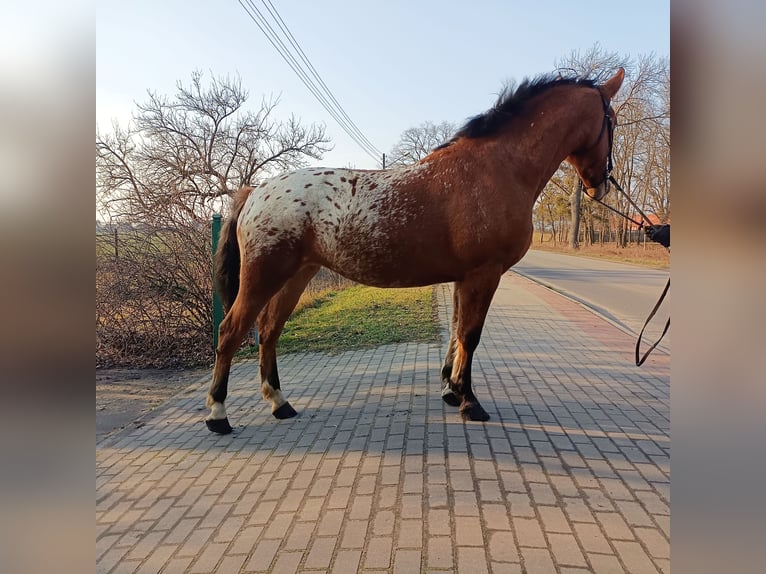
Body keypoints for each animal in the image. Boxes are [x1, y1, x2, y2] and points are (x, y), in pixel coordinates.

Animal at [207, 68, 628, 436]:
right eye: (613, 121)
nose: (602, 185)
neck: (496, 168)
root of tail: (255, 191)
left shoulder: (465, 277)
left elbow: (457, 331)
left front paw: (451, 390)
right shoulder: (485, 273)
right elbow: (470, 335)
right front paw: (470, 402)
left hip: (296, 276)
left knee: (269, 332)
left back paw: (280, 403)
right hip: (264, 277)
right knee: (231, 331)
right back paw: (218, 415)